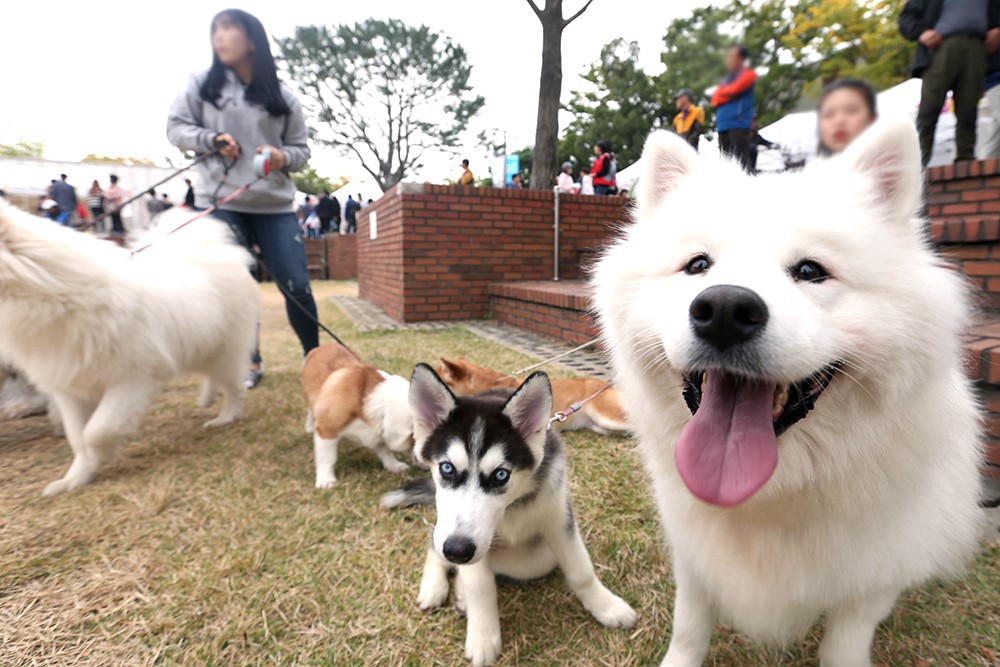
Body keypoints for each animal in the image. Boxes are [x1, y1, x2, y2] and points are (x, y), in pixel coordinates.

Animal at [0, 204, 262, 496]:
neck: (57, 296)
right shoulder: (69, 388)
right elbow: (77, 438)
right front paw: (76, 478)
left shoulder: (131, 379)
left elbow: (97, 430)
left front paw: (102, 455)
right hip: (203, 349)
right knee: (214, 378)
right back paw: (207, 399)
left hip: (225, 351)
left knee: (234, 387)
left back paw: (225, 418)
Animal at [302, 342, 416, 488]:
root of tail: (324, 345)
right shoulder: (327, 431)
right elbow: (327, 458)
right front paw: (326, 480)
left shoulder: (378, 431)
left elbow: (384, 450)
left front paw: (394, 466)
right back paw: (310, 426)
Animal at [382, 366, 632, 667]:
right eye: (447, 468)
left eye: (501, 474)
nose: (457, 550)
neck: (510, 507)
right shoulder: (465, 540)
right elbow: (480, 585)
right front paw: (483, 639)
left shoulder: (558, 518)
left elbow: (581, 570)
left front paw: (606, 606)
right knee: (435, 546)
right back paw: (436, 587)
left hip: (534, 556)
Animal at [592, 121, 984, 667]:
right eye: (698, 265)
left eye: (811, 271)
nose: (725, 310)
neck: (772, 492)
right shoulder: (694, 552)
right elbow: (689, 628)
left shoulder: (875, 575)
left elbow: (844, 644)